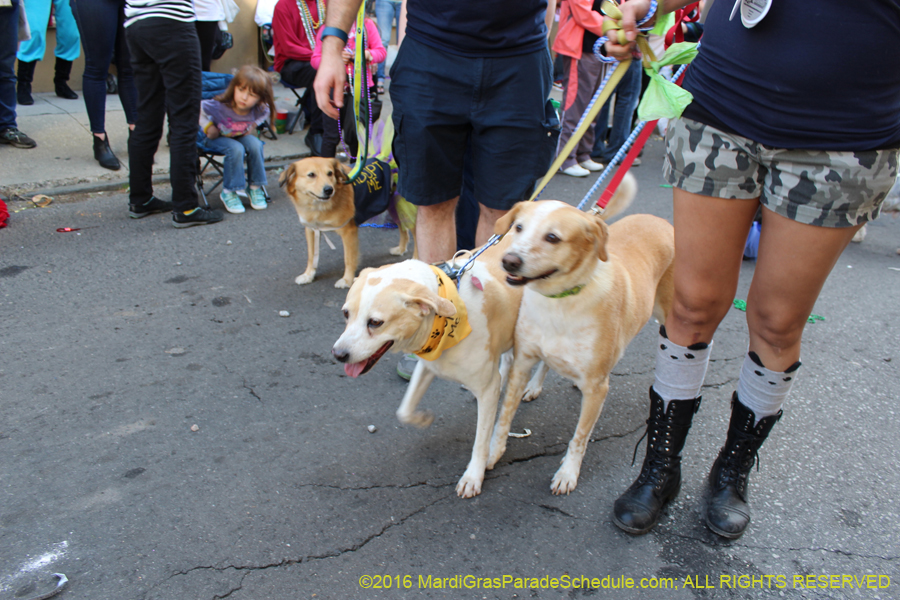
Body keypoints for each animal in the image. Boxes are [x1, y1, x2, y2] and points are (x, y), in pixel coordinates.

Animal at [278, 157, 414, 288]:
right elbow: (311, 256)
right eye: (311, 175)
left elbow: (348, 258)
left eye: (330, 173)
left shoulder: (349, 232)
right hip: (394, 207)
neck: (319, 206)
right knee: (404, 229)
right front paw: (308, 275)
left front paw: (347, 280)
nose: (329, 190)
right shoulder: (312, 230)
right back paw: (401, 249)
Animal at [332, 237, 536, 500]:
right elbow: (404, 410)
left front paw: (473, 476)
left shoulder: (487, 389)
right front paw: (421, 419)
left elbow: (481, 441)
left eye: (375, 322)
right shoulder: (428, 366)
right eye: (346, 313)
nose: (338, 354)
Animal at [486, 184, 676, 496]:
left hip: (671, 317)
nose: (508, 261)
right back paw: (536, 386)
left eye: (552, 237)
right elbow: (503, 419)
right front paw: (491, 454)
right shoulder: (521, 364)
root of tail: (660, 220)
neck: (559, 301)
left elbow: (580, 437)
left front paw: (568, 473)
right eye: (518, 227)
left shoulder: (597, 388)